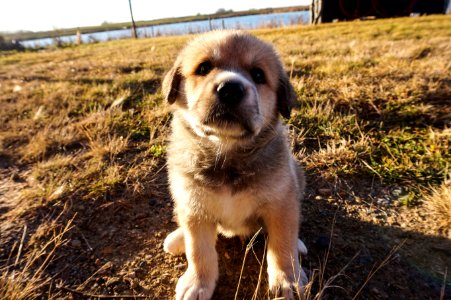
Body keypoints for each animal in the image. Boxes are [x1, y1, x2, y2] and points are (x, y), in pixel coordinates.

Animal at [162, 31, 308, 300]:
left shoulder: (281, 204)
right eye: (204, 67)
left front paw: (287, 278)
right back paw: (178, 238)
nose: (230, 89)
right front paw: (198, 283)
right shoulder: (194, 205)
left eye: (258, 74)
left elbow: (282, 244)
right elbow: (199, 251)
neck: (227, 154)